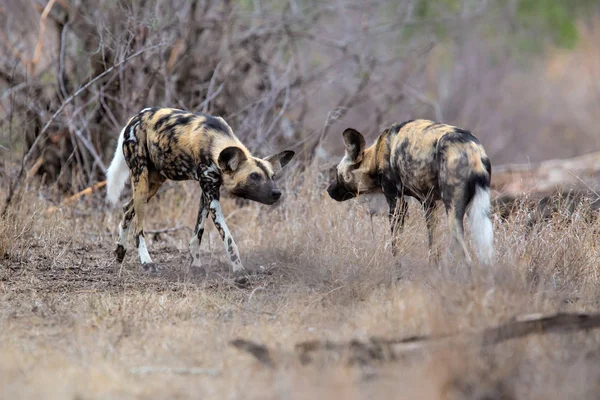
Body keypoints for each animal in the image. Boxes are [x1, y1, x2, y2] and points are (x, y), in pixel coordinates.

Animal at [108, 106, 298, 276]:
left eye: (272, 176)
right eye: (254, 176)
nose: (277, 193)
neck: (215, 143)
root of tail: (135, 118)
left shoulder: (208, 191)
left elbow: (197, 234)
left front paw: (195, 265)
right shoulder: (211, 195)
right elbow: (228, 238)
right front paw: (239, 270)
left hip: (155, 182)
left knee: (127, 209)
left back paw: (120, 251)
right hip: (141, 177)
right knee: (138, 228)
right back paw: (147, 263)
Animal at [328, 120, 492, 268]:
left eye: (337, 173)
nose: (329, 190)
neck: (375, 156)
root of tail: (472, 150)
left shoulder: (397, 204)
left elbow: (396, 244)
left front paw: (397, 267)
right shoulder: (429, 204)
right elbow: (433, 243)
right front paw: (434, 267)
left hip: (452, 211)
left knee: (465, 253)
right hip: (477, 210)